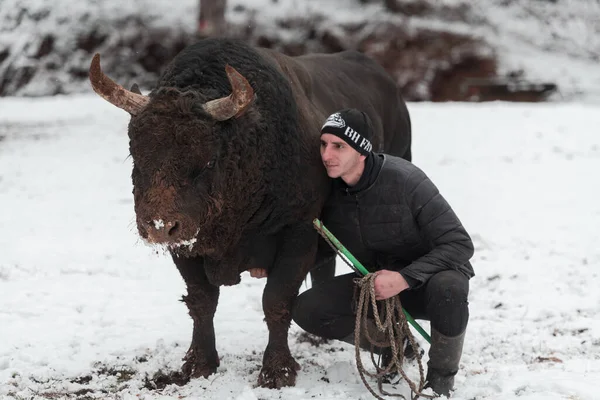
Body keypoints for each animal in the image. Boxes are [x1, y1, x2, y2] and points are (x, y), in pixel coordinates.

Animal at [88, 37, 412, 388]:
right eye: (135, 154)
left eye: (208, 160)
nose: (159, 226)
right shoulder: (186, 245)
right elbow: (202, 301)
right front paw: (199, 363)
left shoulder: (298, 233)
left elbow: (277, 302)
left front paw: (277, 371)